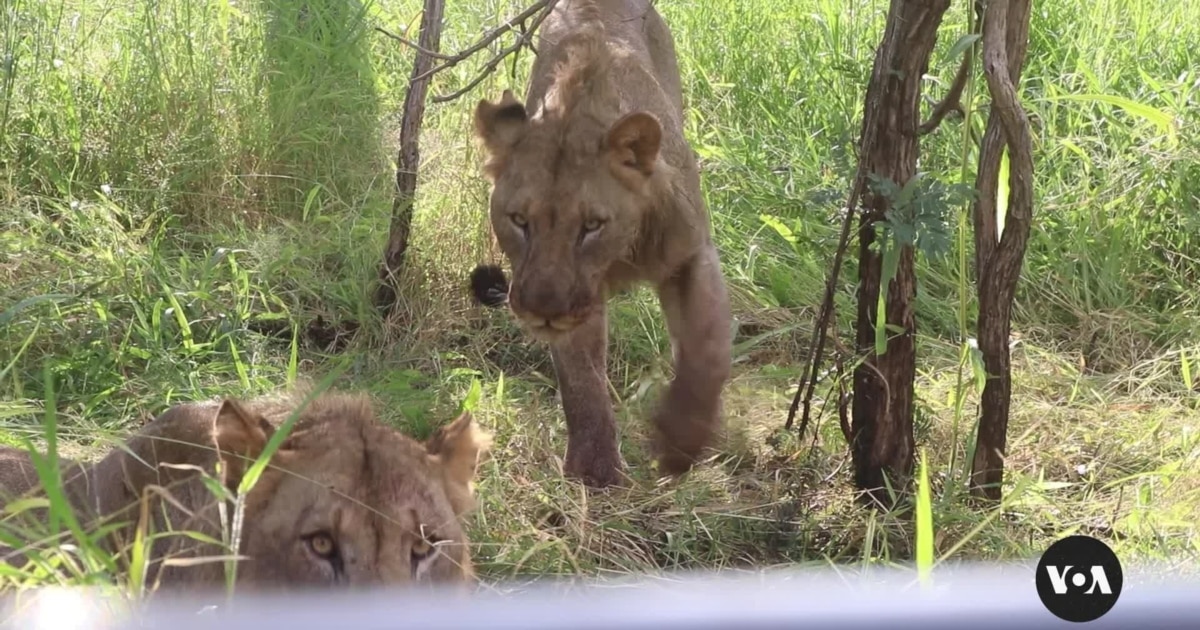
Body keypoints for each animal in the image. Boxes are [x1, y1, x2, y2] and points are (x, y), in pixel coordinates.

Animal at [471, 0, 732, 487]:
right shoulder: (577, 297)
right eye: (519, 221)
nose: (542, 311)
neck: (619, 254)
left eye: (592, 225)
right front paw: (596, 471)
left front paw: (679, 443)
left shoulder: (691, 251)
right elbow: (581, 380)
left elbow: (708, 350)